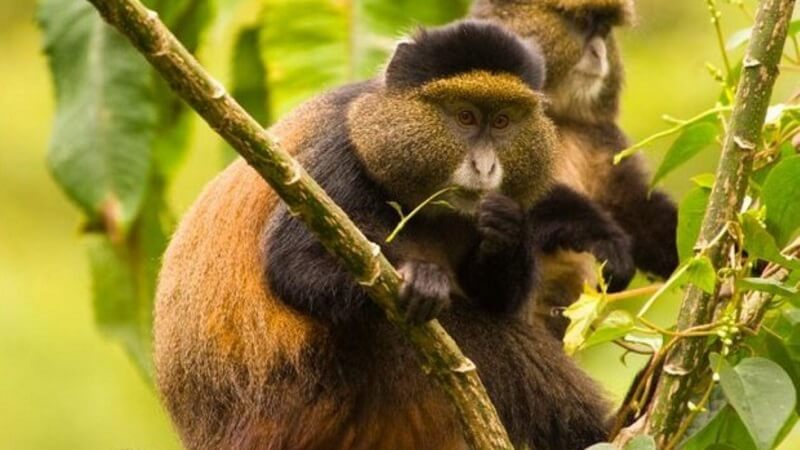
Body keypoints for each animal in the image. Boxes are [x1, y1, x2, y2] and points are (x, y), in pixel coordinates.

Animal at [155, 20, 619, 450]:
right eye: (465, 116)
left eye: (503, 121)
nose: (485, 167)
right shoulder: (336, 158)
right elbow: (294, 266)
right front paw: (423, 280)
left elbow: (498, 297)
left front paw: (508, 229)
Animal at [470, 0, 679, 337]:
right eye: (581, 23)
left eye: (604, 29)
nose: (599, 53)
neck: (555, 115)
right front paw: (603, 236)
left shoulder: (600, 136)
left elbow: (634, 205)